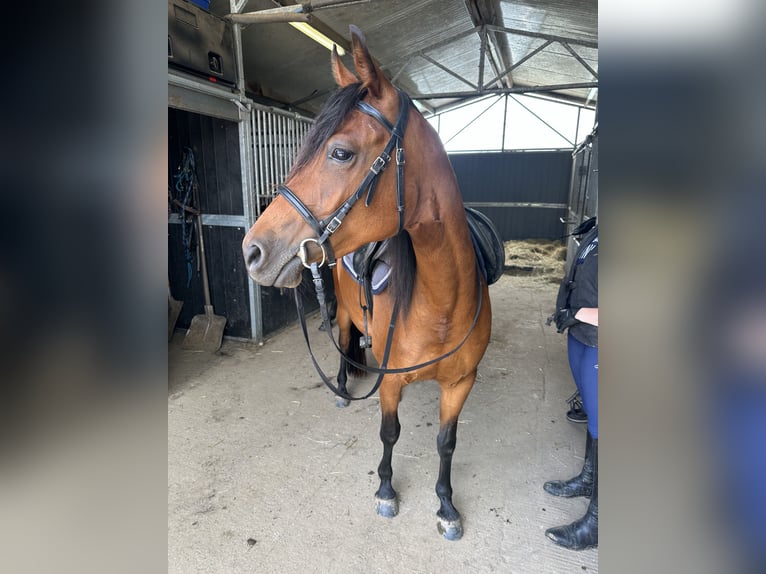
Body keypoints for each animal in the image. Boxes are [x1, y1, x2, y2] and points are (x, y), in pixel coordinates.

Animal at [248, 24, 498, 544]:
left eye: (340, 152)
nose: (252, 251)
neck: (441, 303)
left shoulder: (461, 382)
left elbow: (447, 441)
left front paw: (446, 505)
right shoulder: (390, 383)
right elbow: (390, 433)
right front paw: (386, 490)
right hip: (343, 313)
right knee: (345, 338)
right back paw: (343, 388)